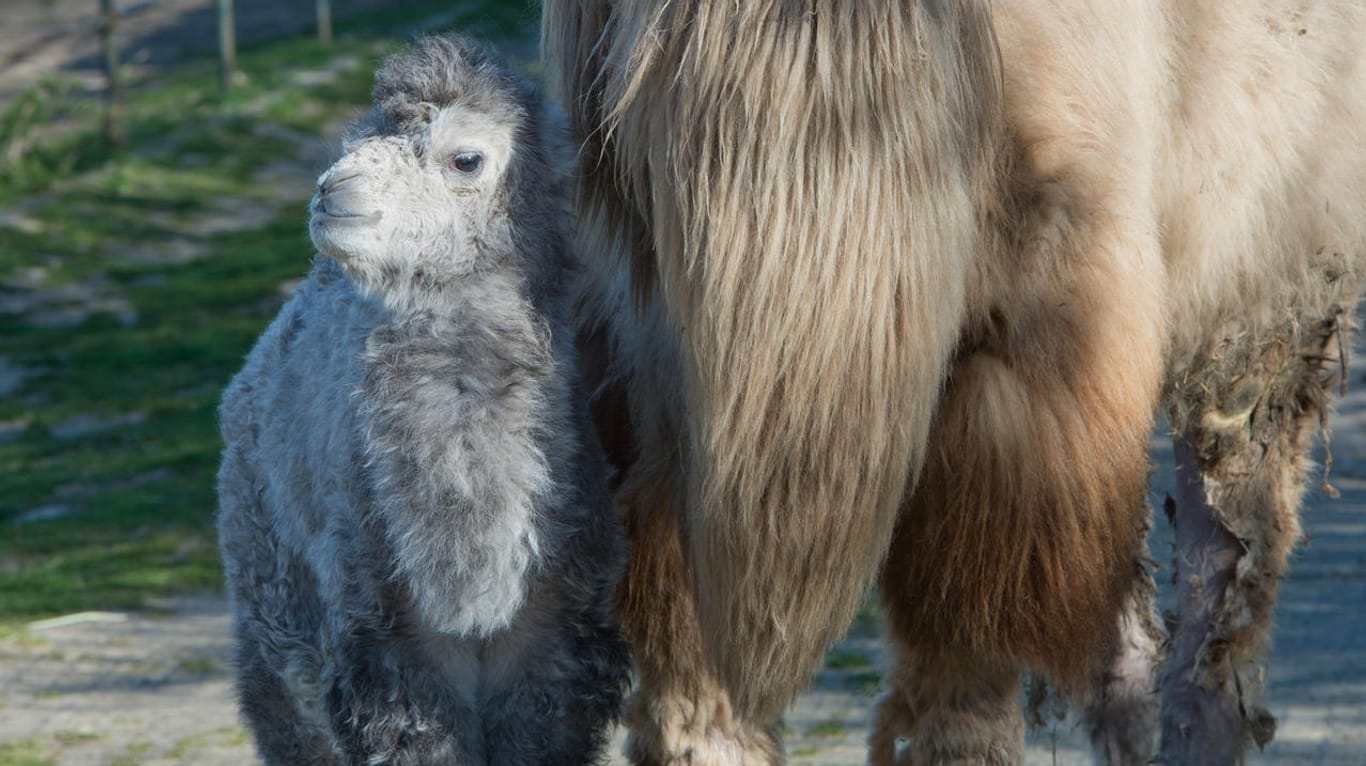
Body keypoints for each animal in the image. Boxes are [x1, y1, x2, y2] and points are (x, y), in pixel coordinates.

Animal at [214, 32, 628, 759]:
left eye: (465, 158)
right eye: (358, 137)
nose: (331, 189)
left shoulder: (558, 649)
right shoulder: (388, 652)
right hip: (267, 593)